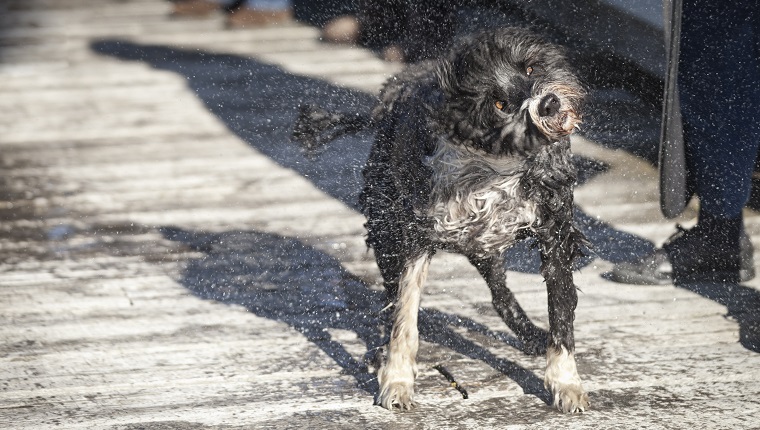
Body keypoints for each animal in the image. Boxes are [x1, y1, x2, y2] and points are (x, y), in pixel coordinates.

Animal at [294, 27, 592, 414]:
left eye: (529, 69)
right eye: (499, 105)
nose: (549, 103)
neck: (495, 168)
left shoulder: (554, 233)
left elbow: (561, 312)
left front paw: (565, 381)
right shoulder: (415, 238)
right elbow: (404, 314)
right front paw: (397, 379)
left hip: (484, 246)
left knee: (499, 293)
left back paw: (529, 334)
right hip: (386, 227)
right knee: (390, 297)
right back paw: (379, 352)